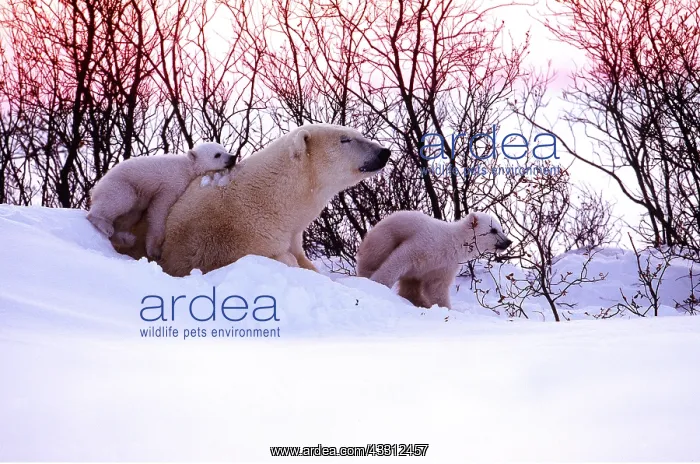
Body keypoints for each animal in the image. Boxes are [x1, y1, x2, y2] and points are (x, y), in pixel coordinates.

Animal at [87, 142, 235, 259]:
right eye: (217, 154)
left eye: (224, 148)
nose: (232, 157)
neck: (188, 166)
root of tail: (95, 188)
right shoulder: (172, 183)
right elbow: (159, 209)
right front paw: (155, 251)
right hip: (120, 184)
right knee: (121, 199)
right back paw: (105, 226)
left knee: (130, 216)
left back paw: (126, 238)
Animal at [356, 210, 512, 309]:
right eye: (493, 230)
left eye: (501, 228)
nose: (508, 241)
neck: (453, 242)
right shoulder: (426, 244)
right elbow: (400, 259)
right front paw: (378, 285)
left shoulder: (445, 265)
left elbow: (437, 287)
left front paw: (446, 308)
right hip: (384, 237)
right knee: (373, 259)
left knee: (411, 284)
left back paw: (419, 302)